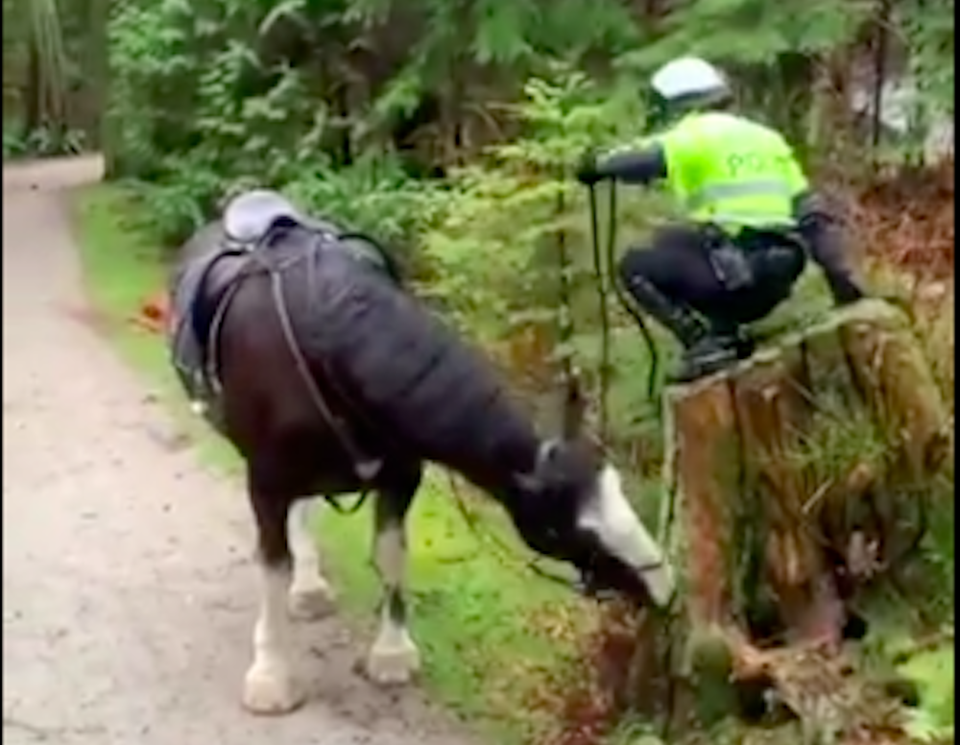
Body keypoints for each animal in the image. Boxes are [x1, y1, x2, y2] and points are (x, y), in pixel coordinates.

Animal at [167, 189, 676, 712]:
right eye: (568, 528)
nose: (664, 585)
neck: (322, 340)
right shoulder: (266, 484)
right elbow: (273, 567)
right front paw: (270, 675)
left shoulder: (400, 476)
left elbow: (391, 553)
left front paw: (391, 654)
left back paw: (309, 587)